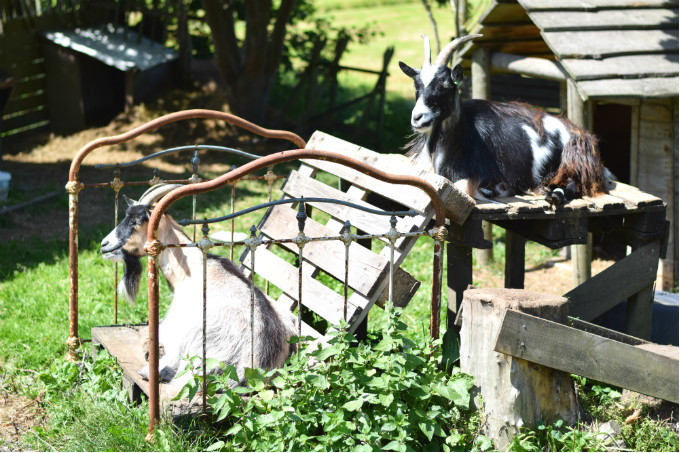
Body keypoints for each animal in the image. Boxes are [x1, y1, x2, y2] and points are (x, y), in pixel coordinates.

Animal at [398, 35, 604, 205]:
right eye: (416, 86)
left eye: (445, 85)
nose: (417, 117)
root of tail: (578, 132)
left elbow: (467, 185)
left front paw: (492, 191)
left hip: (571, 162)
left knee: (576, 183)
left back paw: (554, 195)